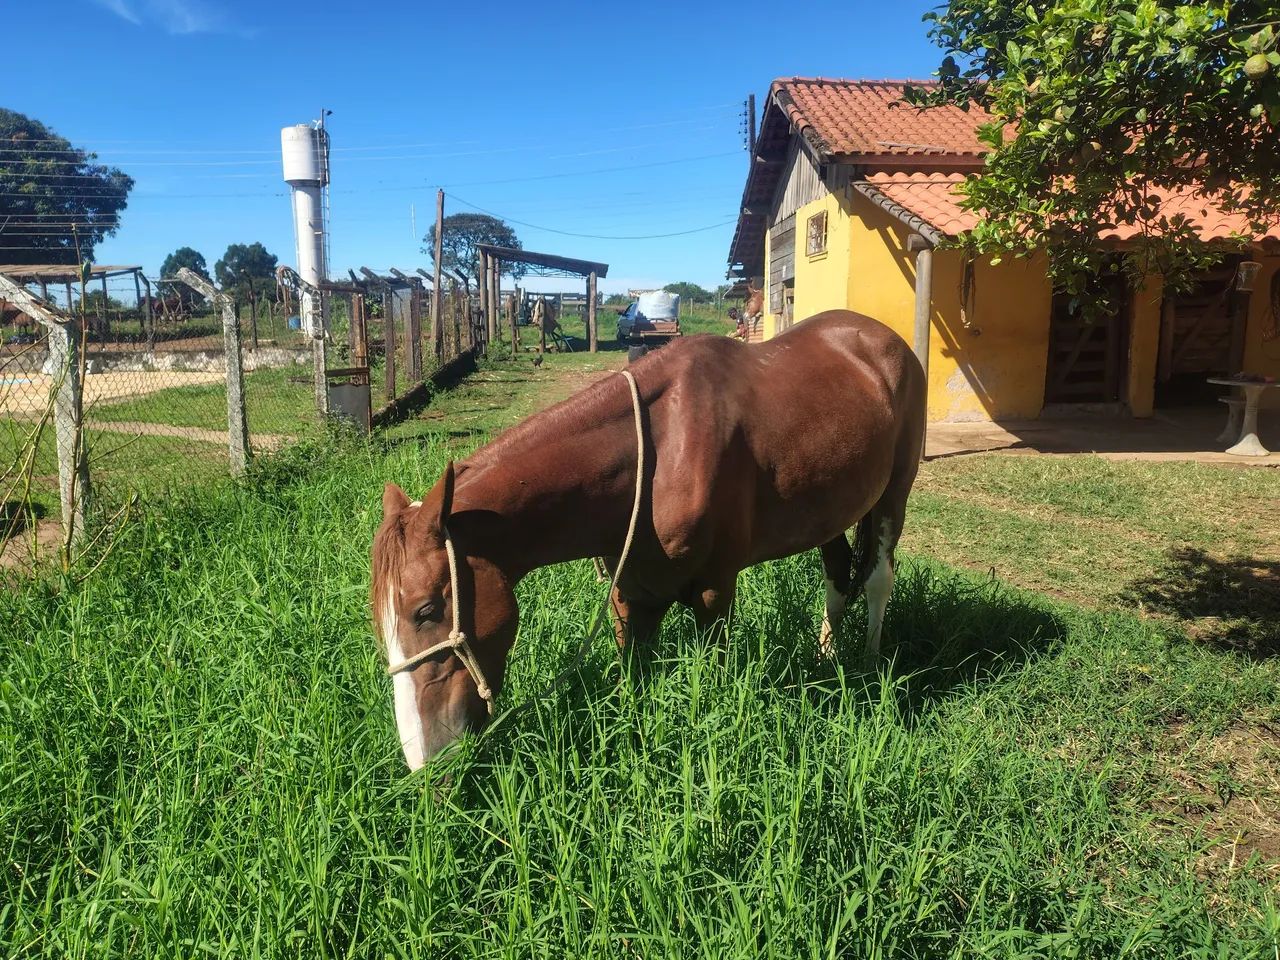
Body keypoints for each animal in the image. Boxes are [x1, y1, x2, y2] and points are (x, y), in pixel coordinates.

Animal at [372, 309, 926, 769]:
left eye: (426, 610)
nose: (424, 761)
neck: (657, 453)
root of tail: (883, 338)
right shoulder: (632, 595)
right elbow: (632, 682)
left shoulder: (714, 594)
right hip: (831, 510)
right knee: (837, 579)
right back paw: (826, 658)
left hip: (893, 495)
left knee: (877, 580)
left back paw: (869, 665)